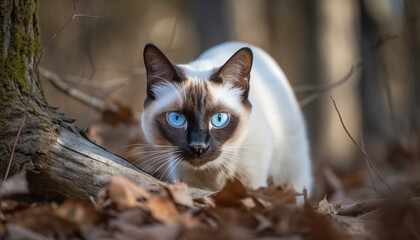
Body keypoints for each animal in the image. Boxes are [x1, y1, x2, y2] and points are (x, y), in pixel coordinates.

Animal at [138, 42, 312, 196]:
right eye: (176, 118)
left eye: (219, 119)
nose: (198, 147)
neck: (213, 173)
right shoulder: (188, 181)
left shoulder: (253, 182)